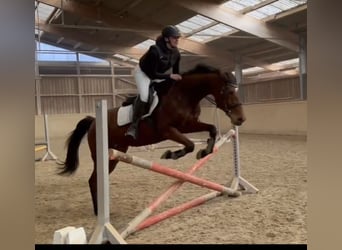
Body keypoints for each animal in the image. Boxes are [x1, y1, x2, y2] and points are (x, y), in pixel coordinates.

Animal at [58, 63, 246, 214]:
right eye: (230, 91)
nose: (240, 119)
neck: (184, 95)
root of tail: (94, 121)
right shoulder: (167, 130)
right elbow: (189, 144)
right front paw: (171, 154)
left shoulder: (188, 125)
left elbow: (212, 129)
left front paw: (204, 151)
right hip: (102, 155)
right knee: (93, 180)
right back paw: (99, 211)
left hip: (116, 154)